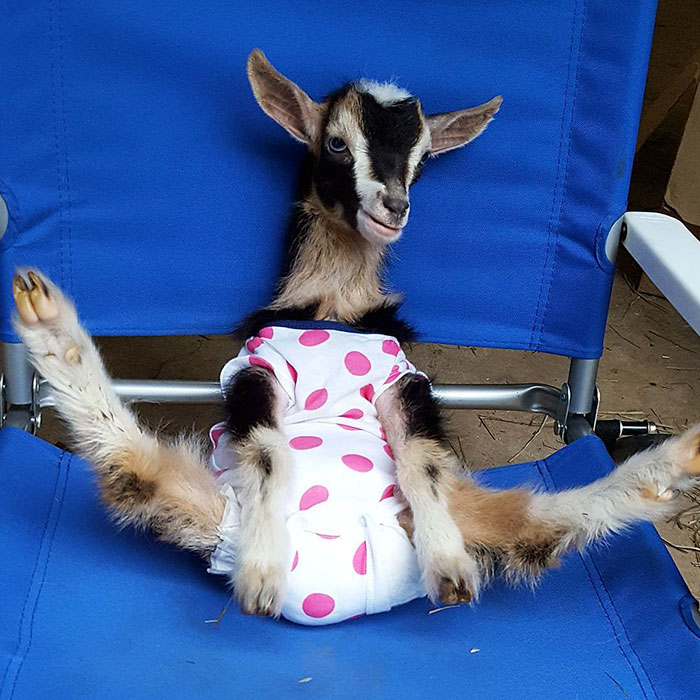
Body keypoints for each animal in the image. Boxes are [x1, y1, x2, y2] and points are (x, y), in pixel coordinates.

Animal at [12, 49, 700, 625]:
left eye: (422, 160)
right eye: (337, 144)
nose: (394, 206)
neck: (335, 309)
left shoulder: (404, 384)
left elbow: (423, 457)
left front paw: (450, 569)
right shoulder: (257, 370)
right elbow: (268, 450)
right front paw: (262, 574)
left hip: (476, 513)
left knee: (544, 521)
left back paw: (676, 461)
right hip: (202, 499)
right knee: (125, 458)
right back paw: (43, 313)